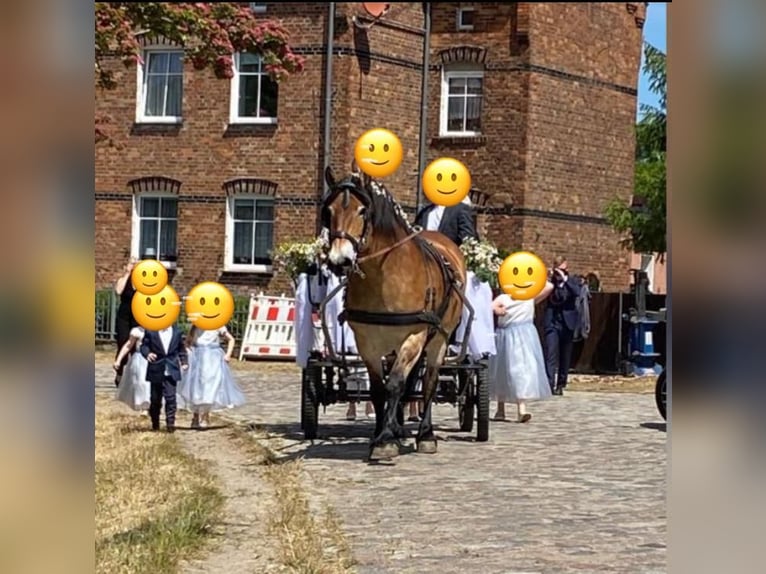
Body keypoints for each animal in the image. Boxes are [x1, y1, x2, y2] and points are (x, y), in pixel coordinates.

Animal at [322, 168, 468, 464]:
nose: (339, 260)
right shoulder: (367, 341)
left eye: (362, 211)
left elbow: (396, 384)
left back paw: (425, 434)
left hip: (439, 339)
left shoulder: (414, 335)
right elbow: (380, 389)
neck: (384, 275)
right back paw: (398, 426)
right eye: (328, 211)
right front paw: (381, 435)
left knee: (429, 382)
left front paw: (386, 440)